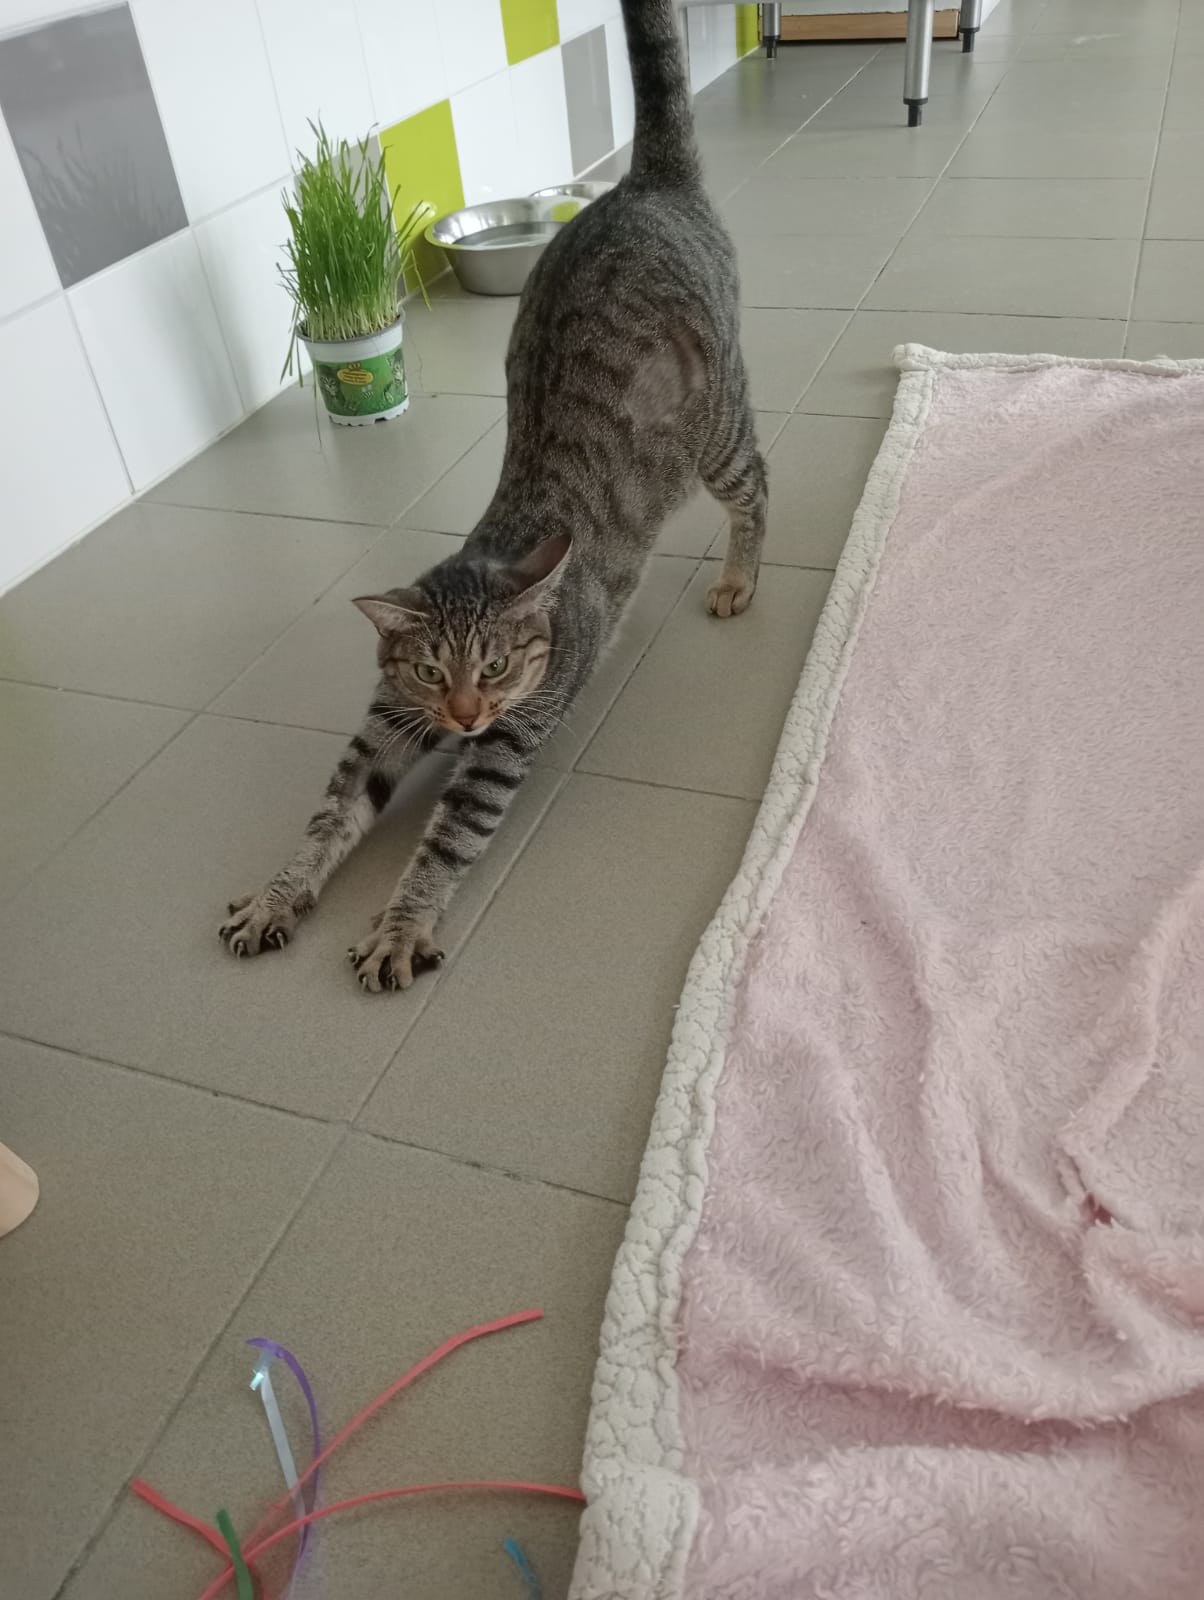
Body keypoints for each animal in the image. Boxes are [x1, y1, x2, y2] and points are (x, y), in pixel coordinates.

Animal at [220, 0, 767, 992]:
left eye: (502, 667)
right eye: (435, 673)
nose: (467, 715)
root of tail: (643, 184)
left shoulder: (507, 746)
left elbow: (447, 839)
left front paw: (400, 927)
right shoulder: (387, 723)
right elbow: (331, 812)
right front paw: (281, 894)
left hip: (719, 434)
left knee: (758, 490)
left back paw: (741, 577)